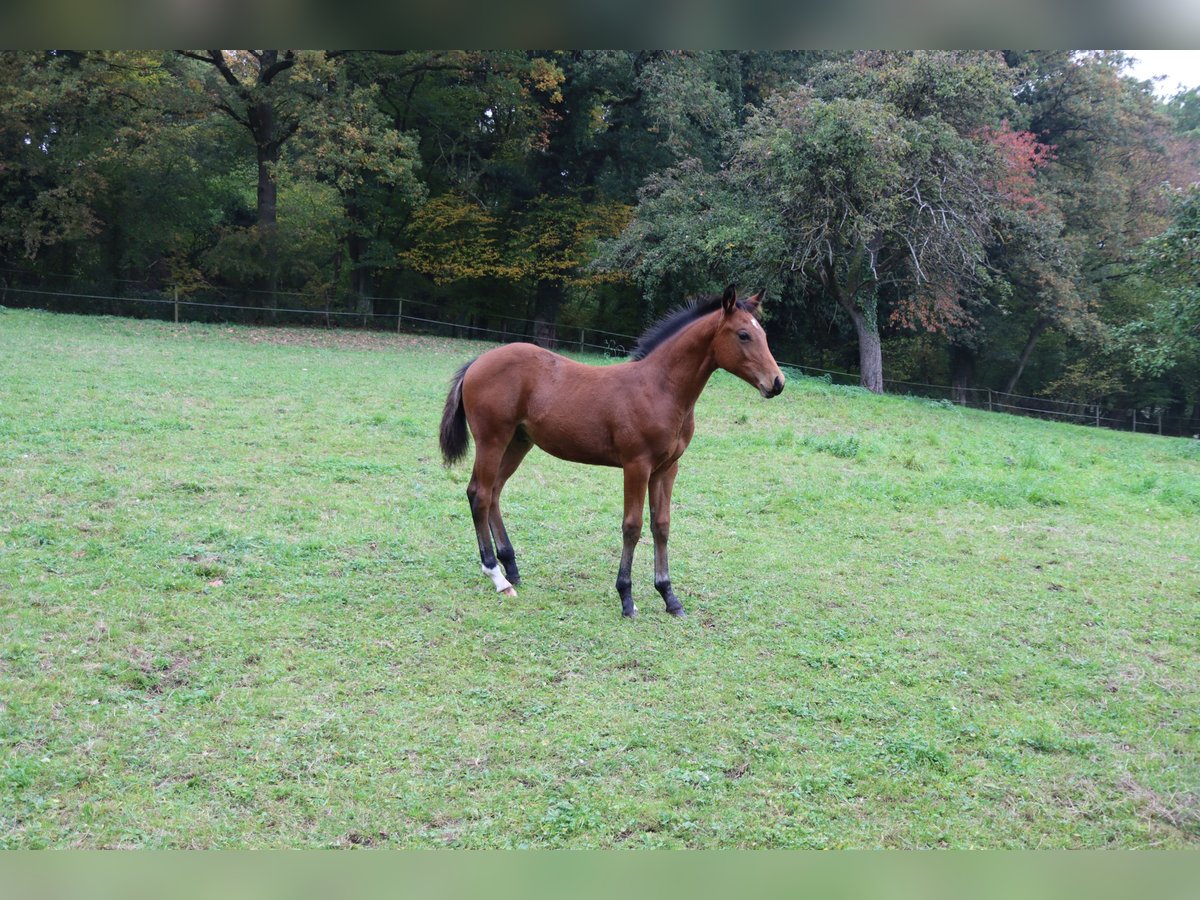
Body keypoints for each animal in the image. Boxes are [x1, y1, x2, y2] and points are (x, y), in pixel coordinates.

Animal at [438, 284, 785, 618]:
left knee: (495, 492)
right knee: (480, 494)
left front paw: (669, 597)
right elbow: (632, 526)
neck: (660, 388)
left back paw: (511, 567)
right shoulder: (637, 465)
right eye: (743, 335)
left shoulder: (667, 468)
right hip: (492, 440)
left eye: (765, 335)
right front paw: (627, 598)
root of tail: (477, 362)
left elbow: (662, 525)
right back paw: (497, 576)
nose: (777, 383)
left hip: (518, 442)